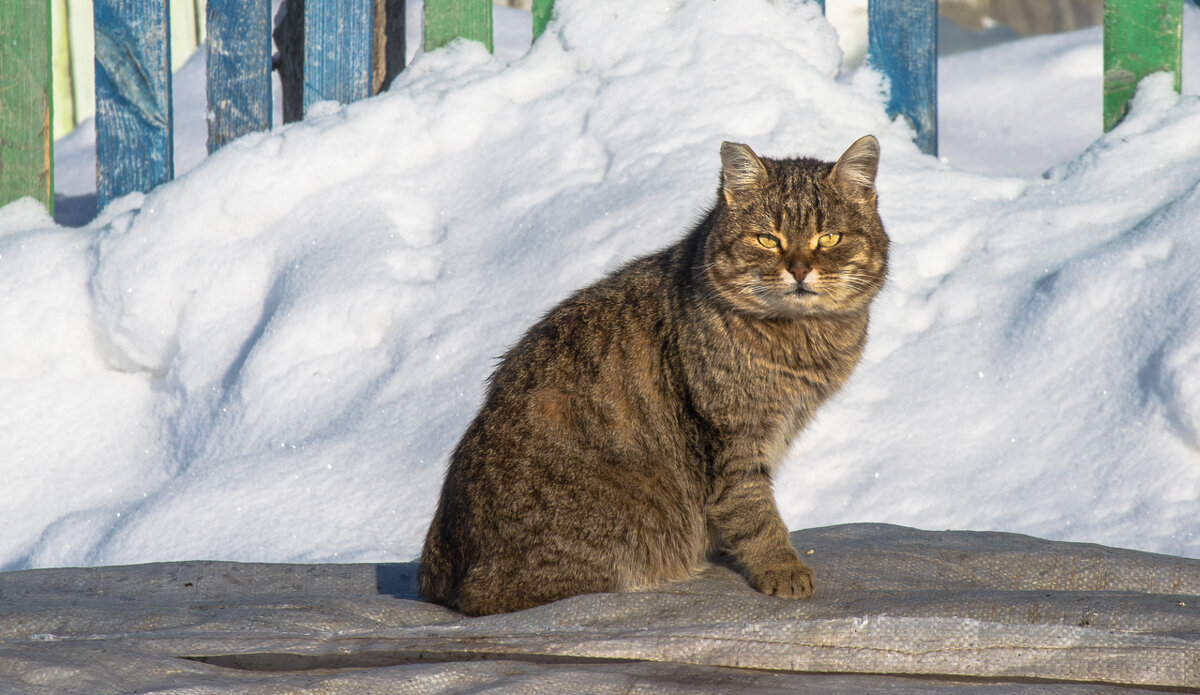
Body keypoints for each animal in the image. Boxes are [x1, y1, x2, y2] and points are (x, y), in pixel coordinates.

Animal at [417, 134, 888, 614]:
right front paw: (780, 565)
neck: (799, 339)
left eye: (829, 237)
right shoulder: (732, 436)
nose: (798, 269)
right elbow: (753, 509)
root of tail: (439, 574)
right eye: (766, 239)